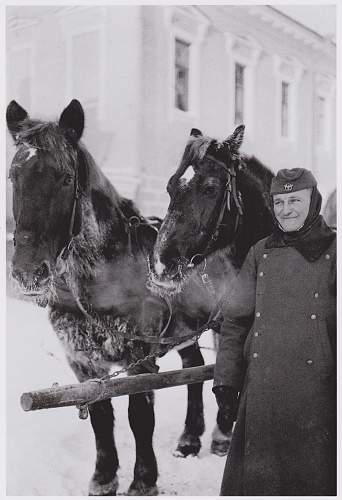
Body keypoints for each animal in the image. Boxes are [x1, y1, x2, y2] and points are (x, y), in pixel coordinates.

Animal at [7, 99, 208, 494]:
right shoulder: (82, 359)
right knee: (194, 367)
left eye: (64, 178)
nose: (27, 273)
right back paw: (190, 441)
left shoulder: (141, 356)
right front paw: (103, 478)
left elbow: (139, 414)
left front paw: (144, 480)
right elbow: (100, 413)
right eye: (12, 176)